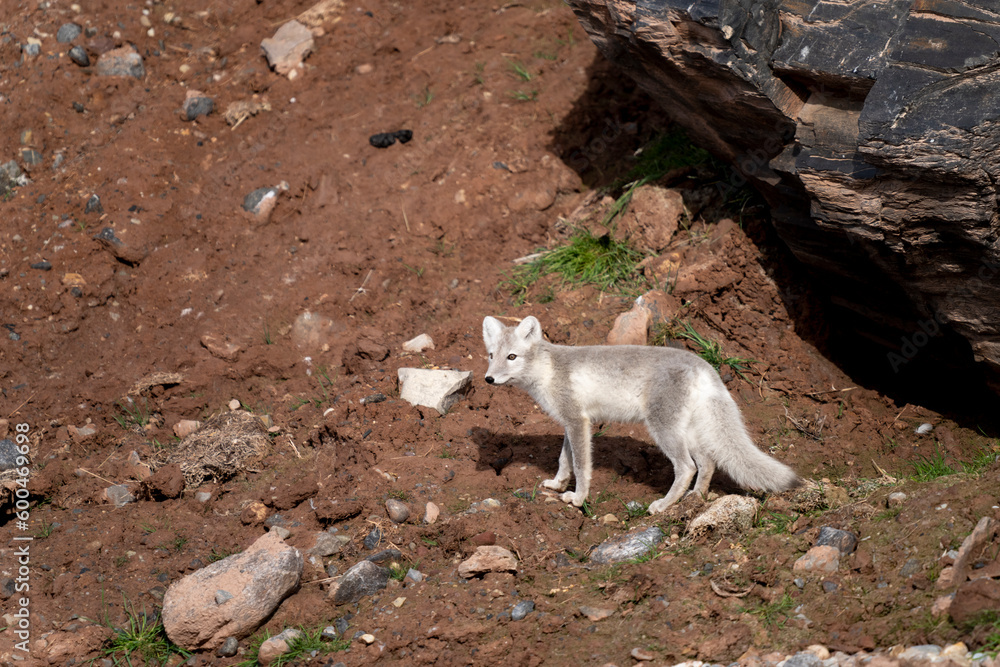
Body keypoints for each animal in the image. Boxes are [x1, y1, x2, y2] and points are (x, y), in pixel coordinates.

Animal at [482, 315, 800, 514]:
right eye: (491, 356)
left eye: (512, 357)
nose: (488, 379)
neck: (548, 371)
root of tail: (703, 365)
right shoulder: (570, 423)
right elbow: (565, 460)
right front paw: (557, 484)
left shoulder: (577, 421)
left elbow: (582, 466)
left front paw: (578, 498)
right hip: (687, 431)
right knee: (708, 463)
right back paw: (695, 499)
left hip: (663, 428)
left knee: (687, 467)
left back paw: (664, 505)